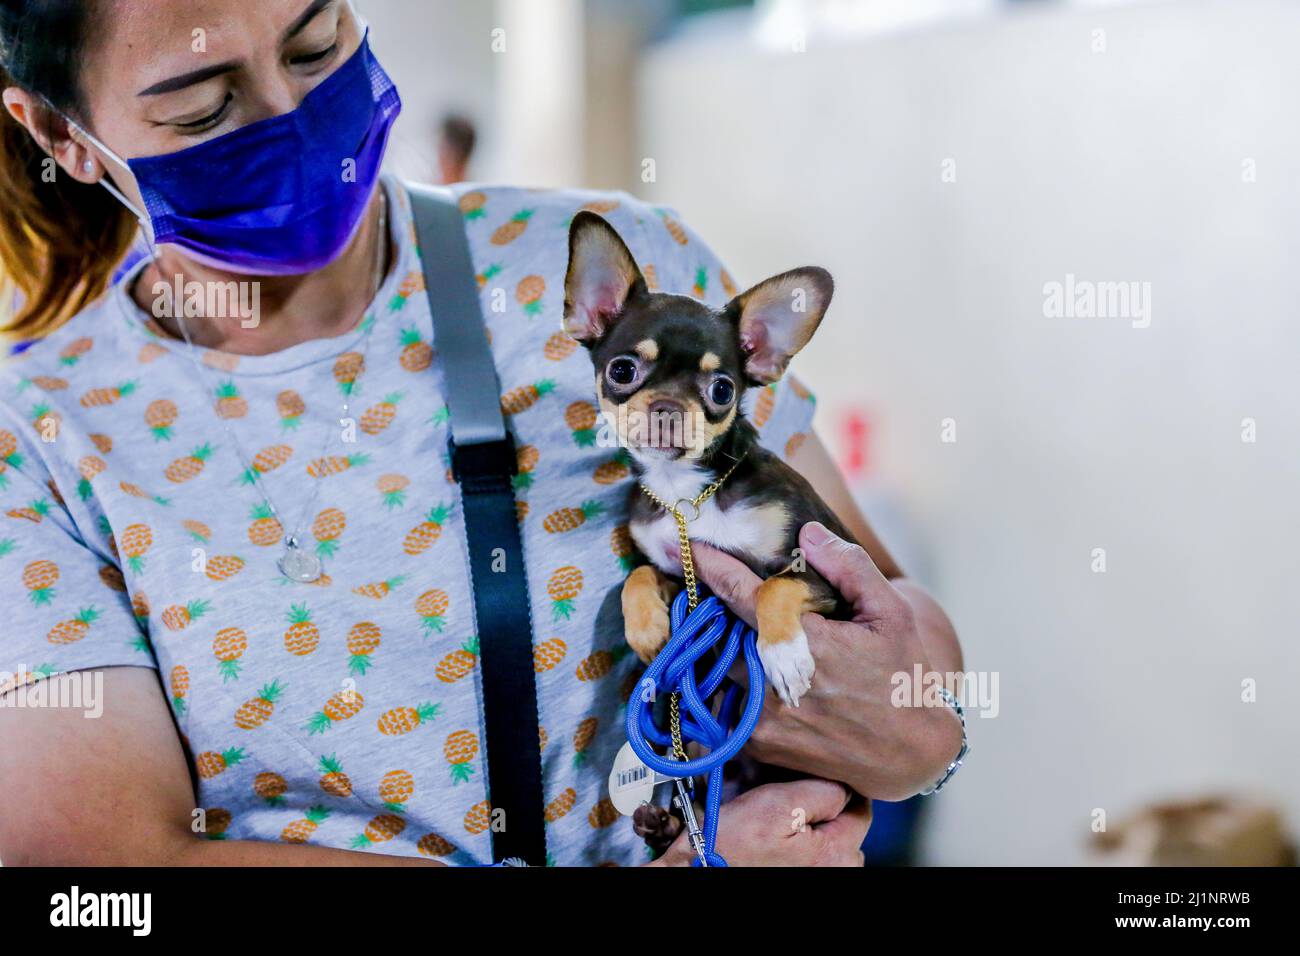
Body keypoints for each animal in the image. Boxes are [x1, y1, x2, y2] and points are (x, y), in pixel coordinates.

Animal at [564, 217, 857, 712]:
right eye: (621, 370)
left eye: (722, 390)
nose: (668, 408)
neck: (685, 490)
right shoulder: (680, 575)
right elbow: (637, 576)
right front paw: (647, 629)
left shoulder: (822, 577)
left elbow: (775, 586)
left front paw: (783, 655)